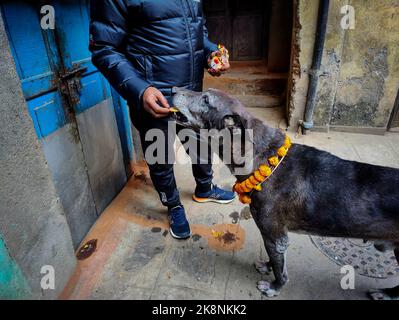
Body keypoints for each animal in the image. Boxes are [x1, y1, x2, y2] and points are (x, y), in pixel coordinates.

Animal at [172, 86, 399, 298]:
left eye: (206, 100)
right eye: (205, 93)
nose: (173, 89)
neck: (265, 160)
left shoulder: (275, 235)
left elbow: (280, 268)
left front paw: (275, 286)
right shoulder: (275, 237)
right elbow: (275, 261)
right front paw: (267, 266)